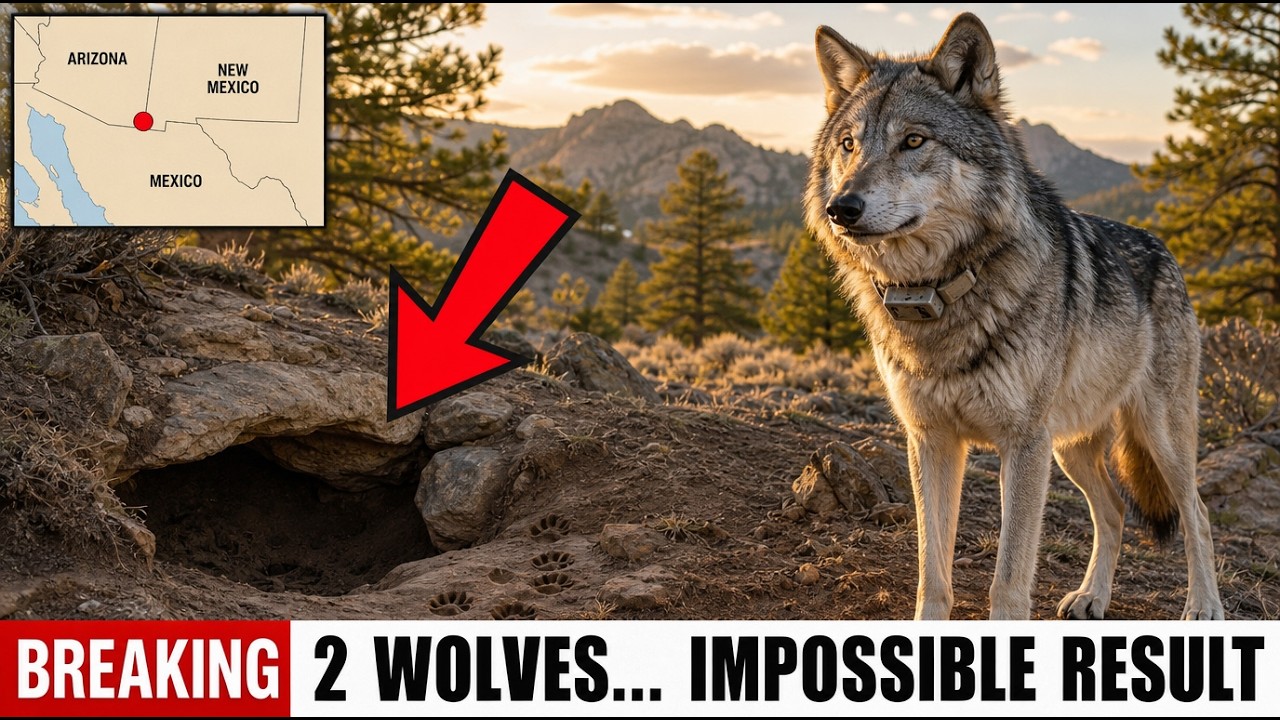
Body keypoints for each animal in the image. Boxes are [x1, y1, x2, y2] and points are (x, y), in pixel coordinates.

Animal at [805, 12, 1224, 620]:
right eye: (848, 144)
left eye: (914, 140)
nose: (842, 208)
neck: (940, 291)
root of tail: (1162, 247)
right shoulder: (931, 440)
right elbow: (933, 571)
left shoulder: (1022, 444)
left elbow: (1008, 577)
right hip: (1070, 448)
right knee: (1115, 511)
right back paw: (1091, 597)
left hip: (1156, 436)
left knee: (1197, 512)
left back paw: (1203, 606)